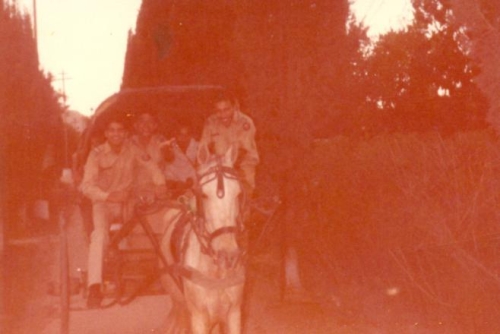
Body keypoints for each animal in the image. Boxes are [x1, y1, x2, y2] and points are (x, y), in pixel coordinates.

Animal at [160, 145, 246, 334]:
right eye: (204, 195)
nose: (227, 255)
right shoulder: (198, 317)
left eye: (238, 194)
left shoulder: (234, 313)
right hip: (177, 299)